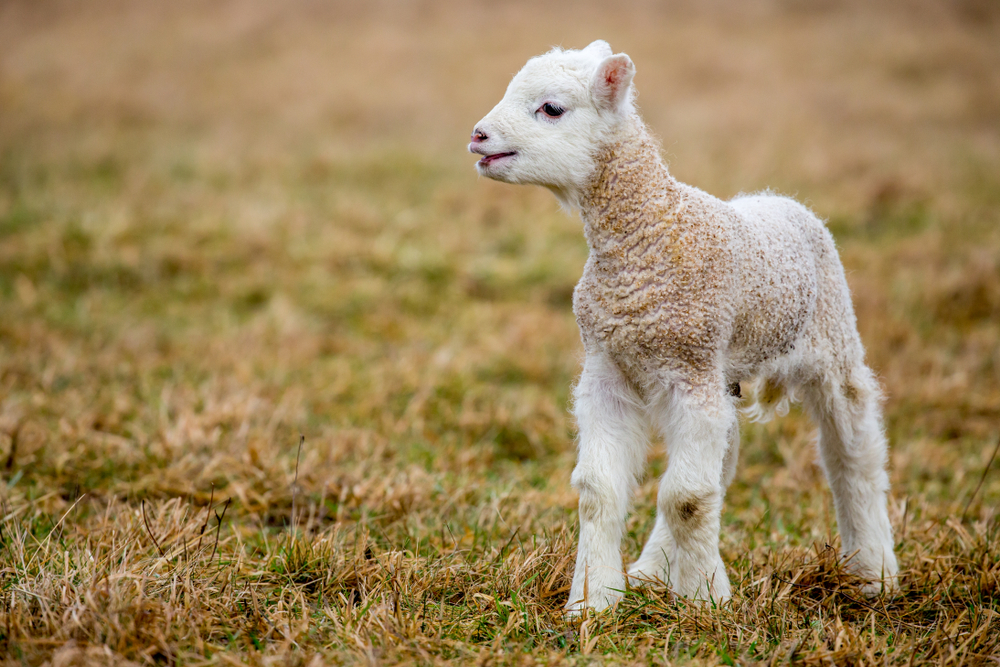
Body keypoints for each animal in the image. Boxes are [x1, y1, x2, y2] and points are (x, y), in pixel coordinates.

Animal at [468, 40, 898, 614]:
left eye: (552, 108)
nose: (478, 136)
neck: (650, 234)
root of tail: (779, 197)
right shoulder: (608, 369)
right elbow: (599, 491)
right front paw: (593, 601)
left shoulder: (689, 369)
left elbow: (687, 497)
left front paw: (704, 600)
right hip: (722, 375)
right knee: (726, 459)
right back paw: (652, 570)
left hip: (831, 339)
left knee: (853, 453)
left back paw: (873, 572)